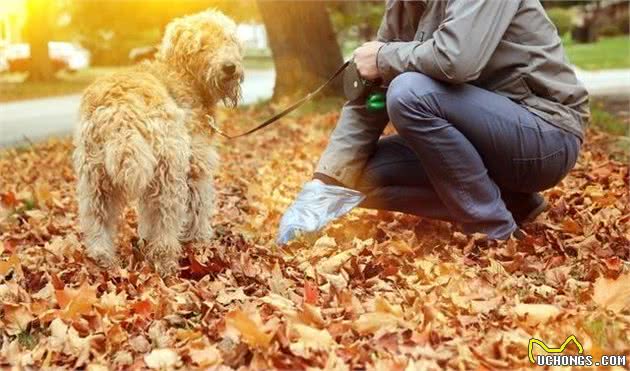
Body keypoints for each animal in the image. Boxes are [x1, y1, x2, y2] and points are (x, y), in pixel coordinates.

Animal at [73, 10, 243, 274]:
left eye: (227, 39)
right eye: (202, 44)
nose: (229, 67)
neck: (182, 76)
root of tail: (120, 107)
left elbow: (146, 215)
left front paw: (145, 238)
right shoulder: (196, 169)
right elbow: (198, 208)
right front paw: (200, 240)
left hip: (95, 180)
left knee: (97, 221)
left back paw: (103, 259)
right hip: (169, 175)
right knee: (166, 222)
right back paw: (167, 261)